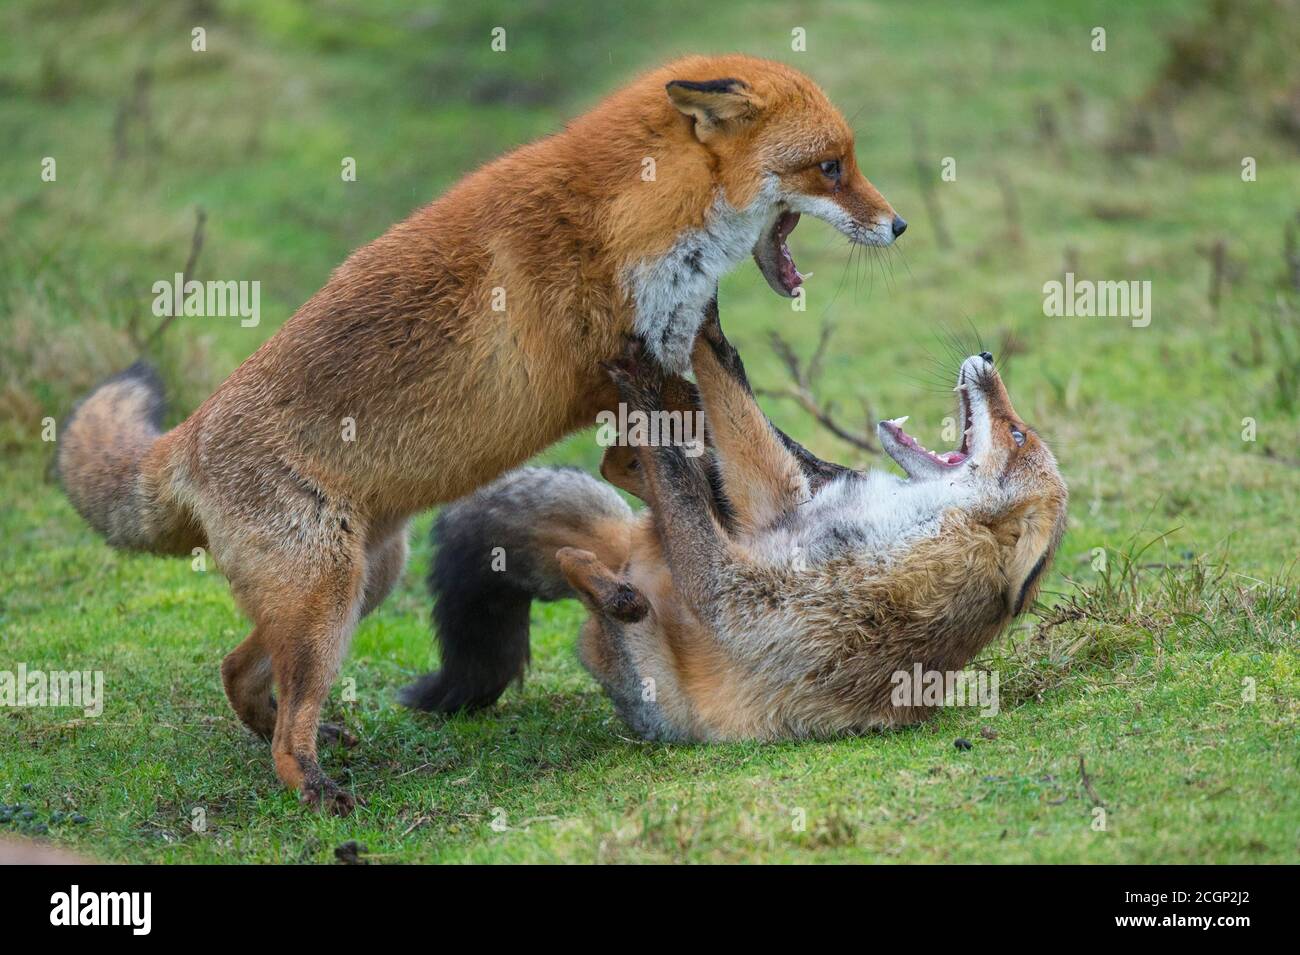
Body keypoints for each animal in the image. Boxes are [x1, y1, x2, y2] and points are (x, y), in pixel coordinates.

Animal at [53, 54, 904, 815]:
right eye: (831, 168)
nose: (896, 225)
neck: (631, 220)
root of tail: (184, 439)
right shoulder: (630, 377)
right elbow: (697, 456)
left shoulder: (640, 382)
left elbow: (699, 457)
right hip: (325, 601)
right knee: (283, 724)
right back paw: (316, 786)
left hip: (365, 581)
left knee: (236, 670)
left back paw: (299, 735)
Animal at [410, 302, 1071, 743]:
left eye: (1017, 435)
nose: (987, 355)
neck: (923, 527)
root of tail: (631, 555)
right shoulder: (779, 508)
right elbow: (738, 398)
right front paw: (705, 326)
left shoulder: (745, 594)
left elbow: (694, 512)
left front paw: (646, 384)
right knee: (629, 468)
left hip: (649, 673)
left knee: (606, 553)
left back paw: (616, 582)